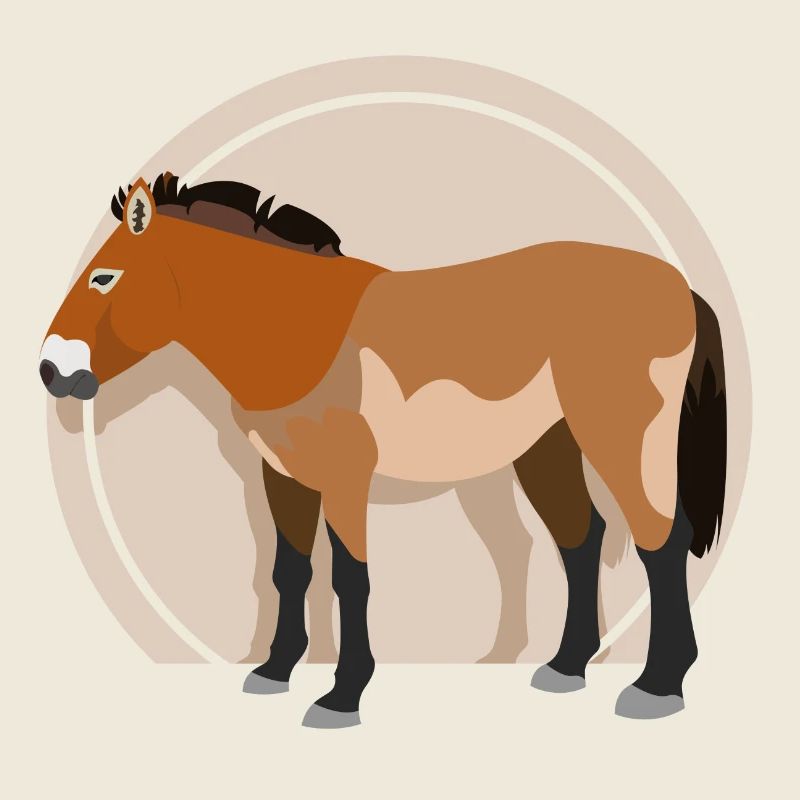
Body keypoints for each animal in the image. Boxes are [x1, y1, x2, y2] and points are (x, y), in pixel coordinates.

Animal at [40, 172, 726, 728]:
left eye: (103, 277)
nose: (52, 369)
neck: (293, 328)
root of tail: (680, 288)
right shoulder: (282, 474)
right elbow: (290, 569)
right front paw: (274, 671)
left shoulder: (348, 476)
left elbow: (350, 576)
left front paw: (342, 696)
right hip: (547, 446)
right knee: (582, 539)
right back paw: (566, 667)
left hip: (624, 437)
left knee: (661, 542)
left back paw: (658, 687)